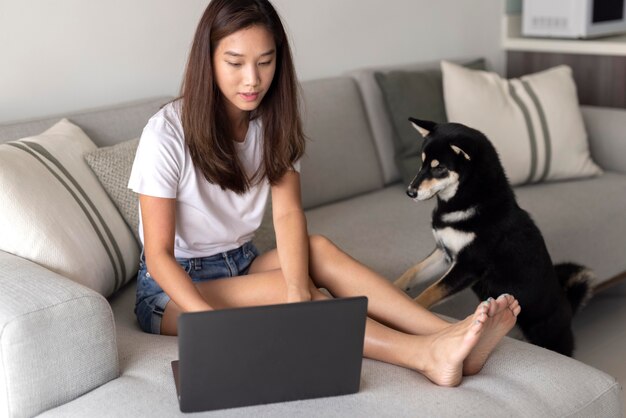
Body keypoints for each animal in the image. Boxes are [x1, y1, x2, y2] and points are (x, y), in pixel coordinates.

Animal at [398, 118, 592, 356]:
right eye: (422, 163)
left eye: (440, 168)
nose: (410, 192)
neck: (468, 203)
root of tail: (568, 306)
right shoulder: (445, 254)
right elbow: (412, 272)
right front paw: (394, 287)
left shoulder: (468, 266)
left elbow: (429, 292)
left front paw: (408, 307)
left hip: (550, 338)